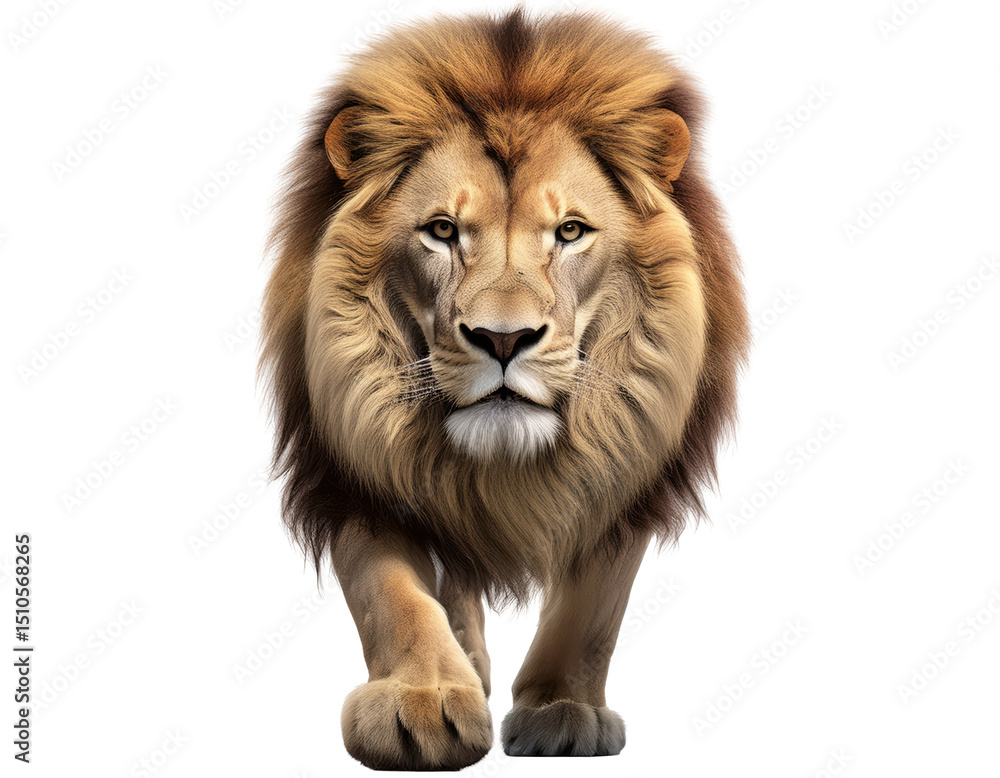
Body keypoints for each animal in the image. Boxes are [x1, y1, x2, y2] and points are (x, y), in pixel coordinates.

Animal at [260, 8, 749, 770]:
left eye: (570, 231)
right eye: (442, 231)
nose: (502, 338)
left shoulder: (630, 461)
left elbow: (593, 608)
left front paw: (561, 710)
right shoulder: (349, 456)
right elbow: (392, 591)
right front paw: (423, 700)